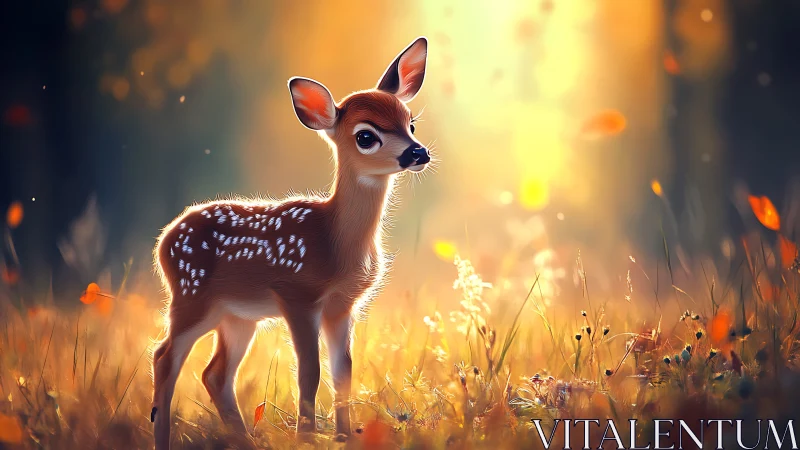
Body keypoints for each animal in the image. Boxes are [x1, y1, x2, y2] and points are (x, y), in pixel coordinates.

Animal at [150, 37, 431, 449]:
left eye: (410, 123)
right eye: (366, 136)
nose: (418, 152)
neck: (335, 239)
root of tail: (163, 239)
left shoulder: (342, 305)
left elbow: (343, 372)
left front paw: (343, 437)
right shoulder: (298, 293)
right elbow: (309, 372)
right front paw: (307, 438)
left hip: (236, 316)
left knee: (214, 374)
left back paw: (245, 440)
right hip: (191, 296)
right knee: (165, 357)